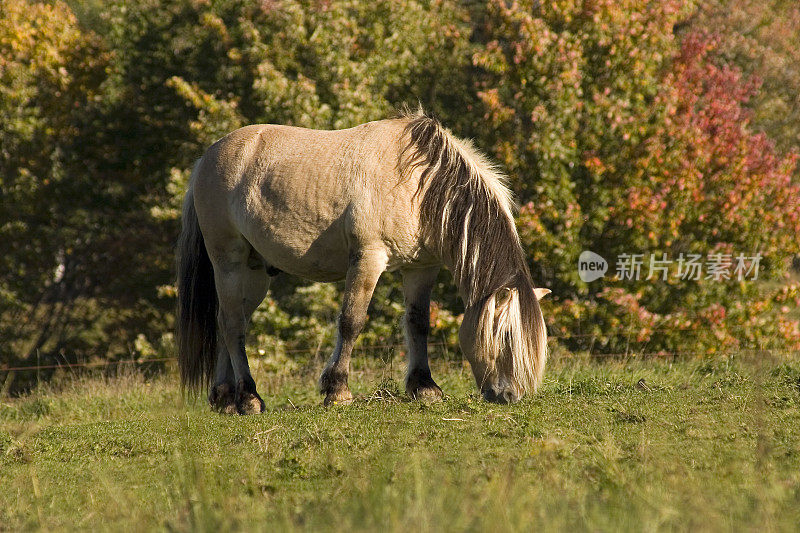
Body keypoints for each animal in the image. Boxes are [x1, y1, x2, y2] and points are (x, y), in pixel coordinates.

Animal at [177, 110, 548, 414]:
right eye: (506, 338)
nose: (509, 395)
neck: (417, 183)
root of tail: (206, 158)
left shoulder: (420, 268)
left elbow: (418, 323)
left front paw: (424, 388)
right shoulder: (368, 259)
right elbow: (351, 321)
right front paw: (337, 390)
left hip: (255, 274)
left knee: (230, 322)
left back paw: (226, 398)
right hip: (229, 262)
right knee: (232, 325)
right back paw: (249, 398)